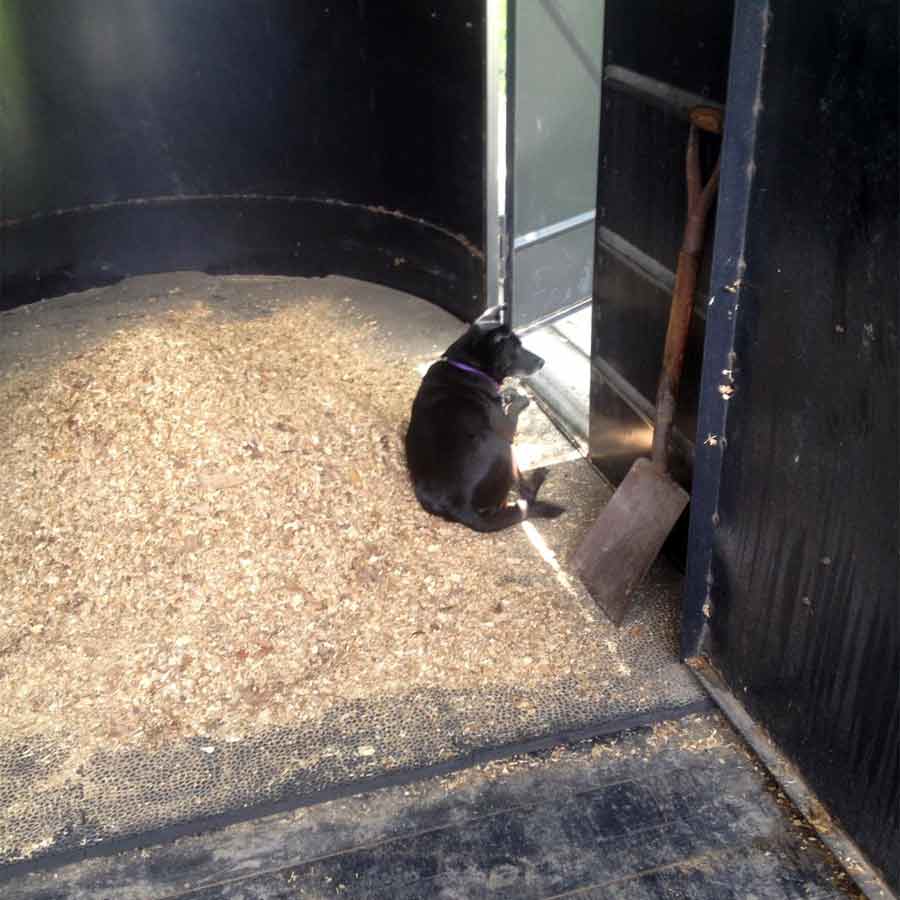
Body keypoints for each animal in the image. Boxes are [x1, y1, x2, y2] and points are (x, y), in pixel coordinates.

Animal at [406, 318, 564, 532]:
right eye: (516, 348)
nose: (542, 362)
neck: (467, 368)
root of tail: (458, 504)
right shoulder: (507, 429)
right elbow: (512, 411)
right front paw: (519, 399)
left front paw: (509, 393)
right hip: (505, 448)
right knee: (526, 495)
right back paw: (539, 476)